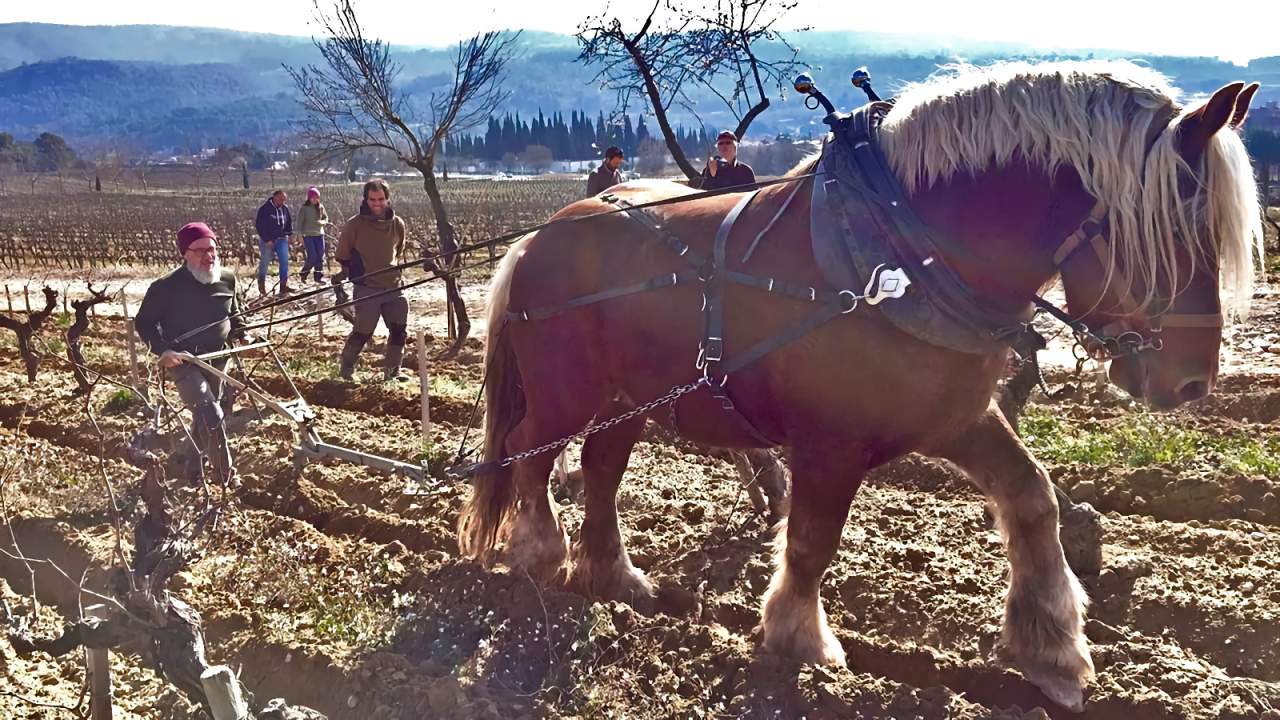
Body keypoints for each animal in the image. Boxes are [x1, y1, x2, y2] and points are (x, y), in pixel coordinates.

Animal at [457, 61, 1263, 711]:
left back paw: (614, 577)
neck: (902, 253)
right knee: (529, 453)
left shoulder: (956, 415)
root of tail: (541, 234)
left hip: (625, 401)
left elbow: (1033, 499)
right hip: (565, 392)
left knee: (600, 470)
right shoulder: (830, 441)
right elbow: (813, 540)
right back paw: (539, 554)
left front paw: (1054, 652)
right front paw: (800, 640)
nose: (1193, 383)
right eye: (1179, 228)